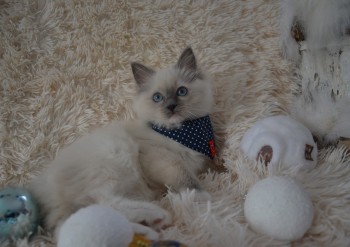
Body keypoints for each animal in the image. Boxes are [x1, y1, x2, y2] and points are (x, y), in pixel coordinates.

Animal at [28, 47, 216, 239]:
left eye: (181, 92)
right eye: (157, 97)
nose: (171, 107)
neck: (181, 132)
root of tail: (42, 186)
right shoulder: (162, 157)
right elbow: (185, 178)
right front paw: (203, 196)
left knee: (79, 222)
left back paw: (147, 231)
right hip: (114, 158)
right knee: (104, 201)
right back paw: (157, 216)